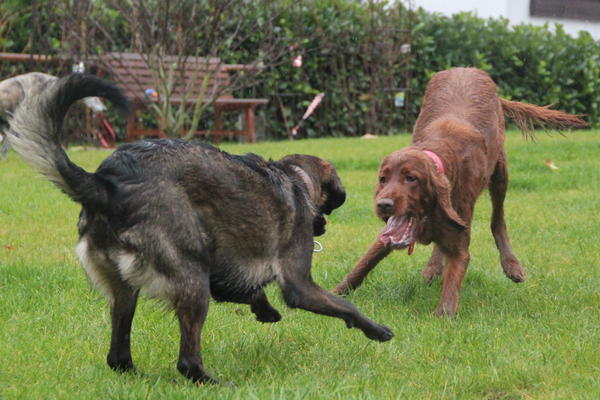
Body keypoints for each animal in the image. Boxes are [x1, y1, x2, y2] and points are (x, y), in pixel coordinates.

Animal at [9, 73, 394, 382]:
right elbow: (344, 306)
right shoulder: (298, 284)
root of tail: (107, 184)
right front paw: (376, 330)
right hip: (192, 278)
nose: (323, 227)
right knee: (187, 361)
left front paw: (264, 309)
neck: (293, 178)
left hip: (125, 290)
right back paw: (211, 382)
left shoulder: (222, 276)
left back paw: (137, 376)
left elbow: (250, 289)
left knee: (117, 355)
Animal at [336, 68, 588, 316]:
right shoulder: (389, 235)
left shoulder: (460, 243)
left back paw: (511, 264)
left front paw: (443, 315)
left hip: (500, 173)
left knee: (498, 219)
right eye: (383, 179)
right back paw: (432, 268)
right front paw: (337, 294)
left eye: (411, 178)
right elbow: (364, 263)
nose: (383, 204)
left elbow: (451, 287)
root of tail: (467, 68)